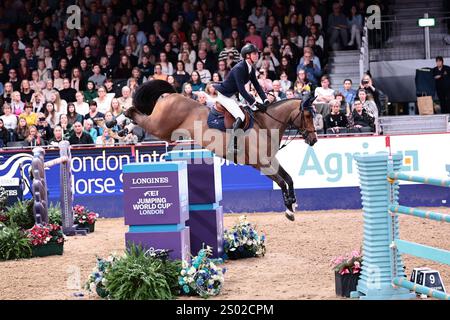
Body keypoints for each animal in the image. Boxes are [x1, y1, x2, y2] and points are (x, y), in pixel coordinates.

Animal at [125, 79, 318, 220]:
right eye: (308, 115)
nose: (314, 140)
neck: (266, 125)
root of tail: (171, 95)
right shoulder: (260, 164)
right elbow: (281, 182)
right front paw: (289, 209)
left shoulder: (271, 160)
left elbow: (289, 179)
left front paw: (292, 204)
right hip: (160, 128)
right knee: (138, 114)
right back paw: (124, 122)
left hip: (163, 129)